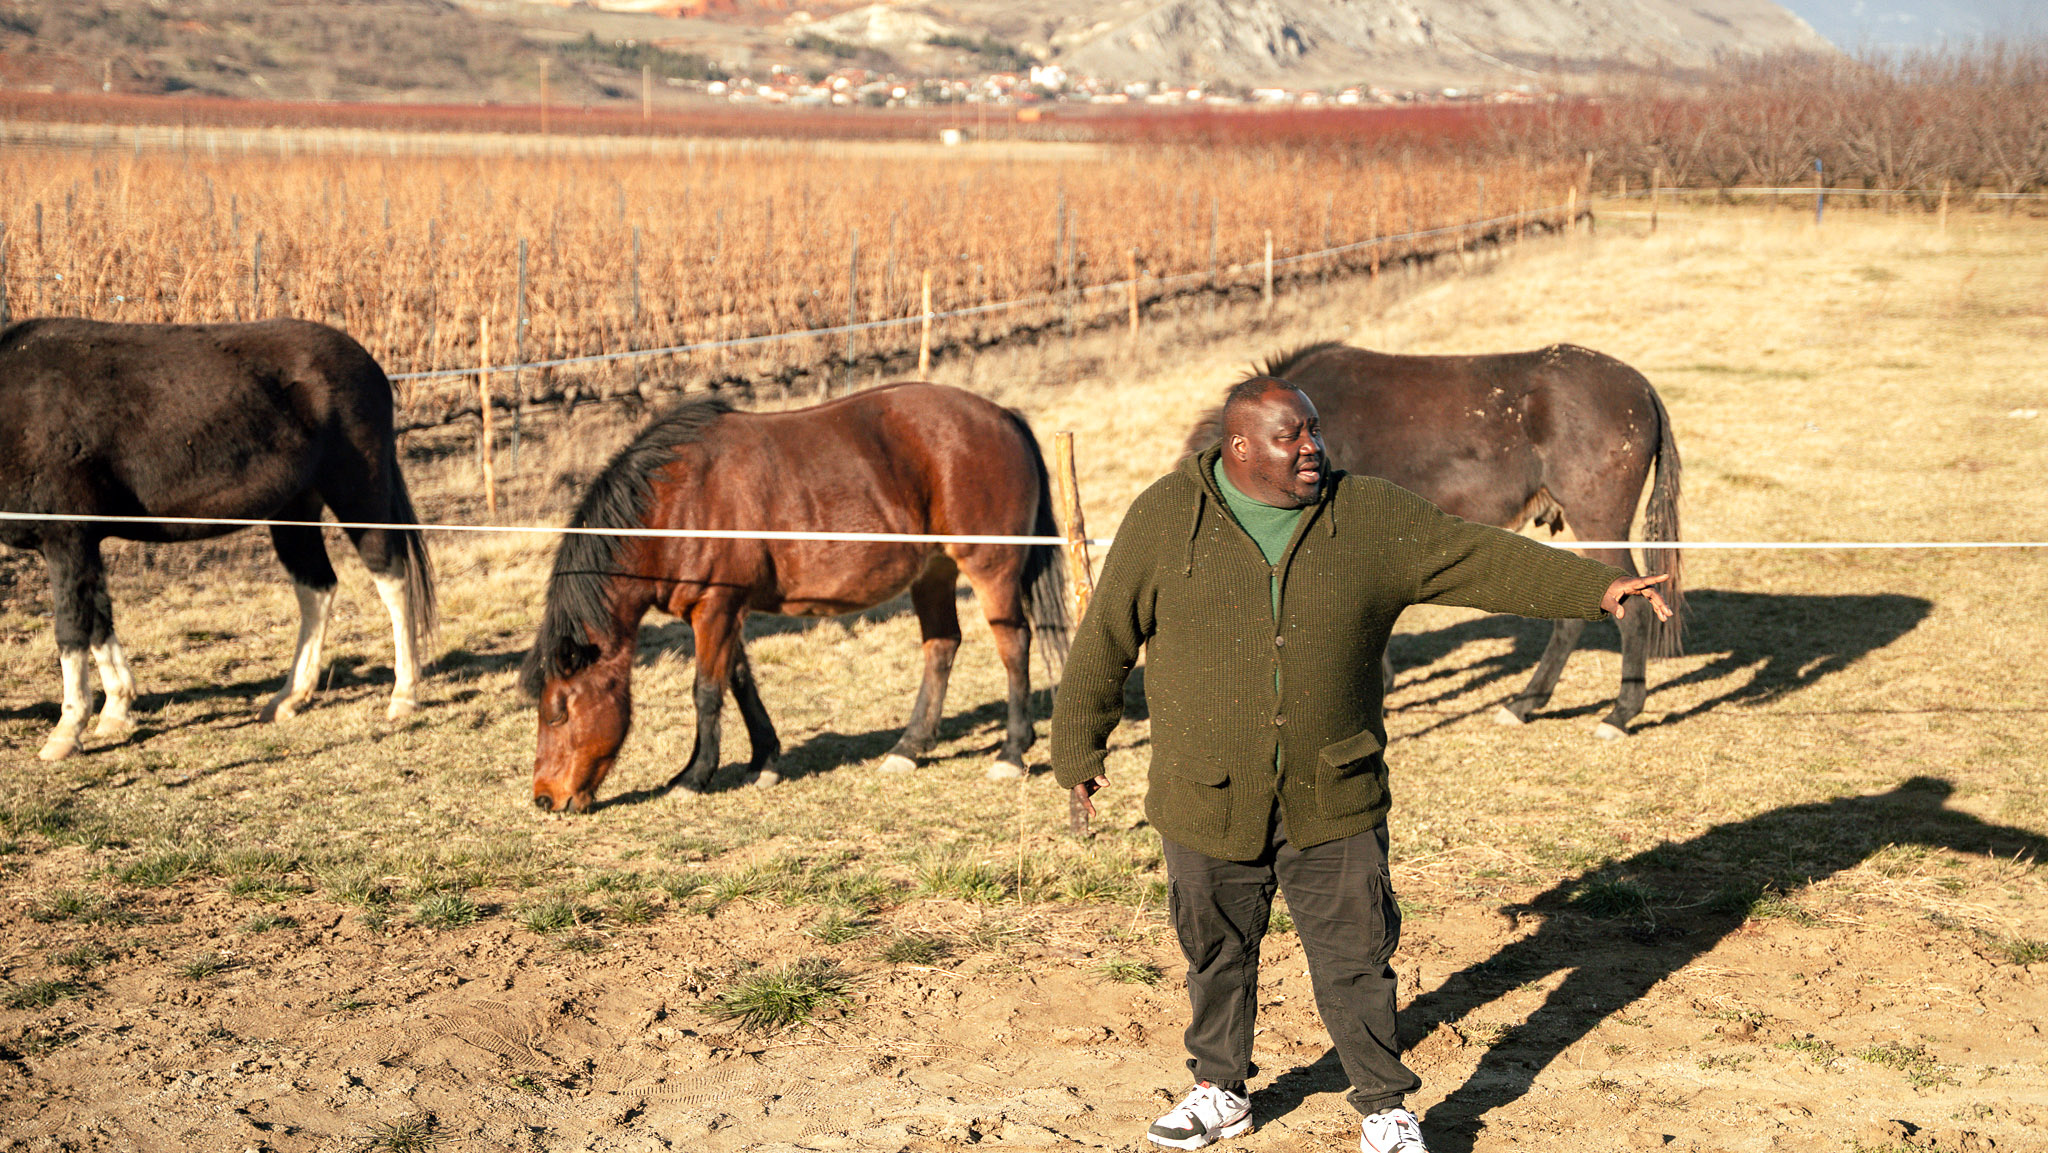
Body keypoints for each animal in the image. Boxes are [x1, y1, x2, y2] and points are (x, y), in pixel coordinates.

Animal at [0, 319, 440, 761]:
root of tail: (369, 364)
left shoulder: (67, 540)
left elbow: (72, 628)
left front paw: (66, 731)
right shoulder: (85, 545)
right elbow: (99, 621)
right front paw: (116, 712)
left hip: (358, 494)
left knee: (392, 580)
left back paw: (403, 696)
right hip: (294, 510)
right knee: (317, 588)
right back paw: (287, 699)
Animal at [524, 380, 1073, 810]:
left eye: (558, 712)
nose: (545, 799)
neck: (673, 504)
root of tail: (1003, 417)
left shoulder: (715, 608)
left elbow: (706, 691)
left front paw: (693, 777)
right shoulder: (728, 610)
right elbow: (740, 682)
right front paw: (763, 761)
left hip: (989, 566)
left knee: (1013, 646)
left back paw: (1011, 752)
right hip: (934, 570)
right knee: (941, 646)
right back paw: (908, 747)